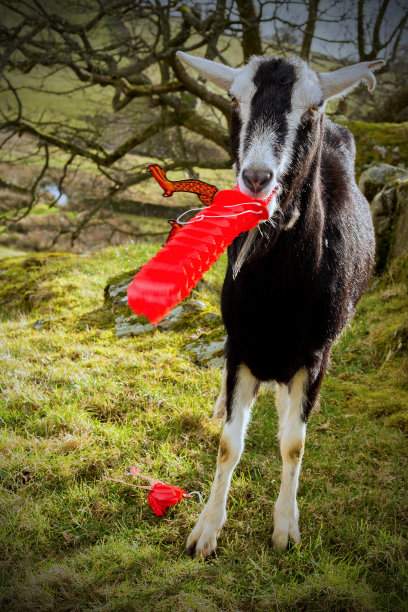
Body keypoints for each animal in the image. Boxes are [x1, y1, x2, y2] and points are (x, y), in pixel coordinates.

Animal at [176, 53, 382, 560]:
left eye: (313, 108)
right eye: (234, 100)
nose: (256, 178)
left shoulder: (315, 355)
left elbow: (293, 444)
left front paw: (286, 529)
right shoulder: (240, 346)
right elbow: (228, 444)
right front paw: (206, 531)